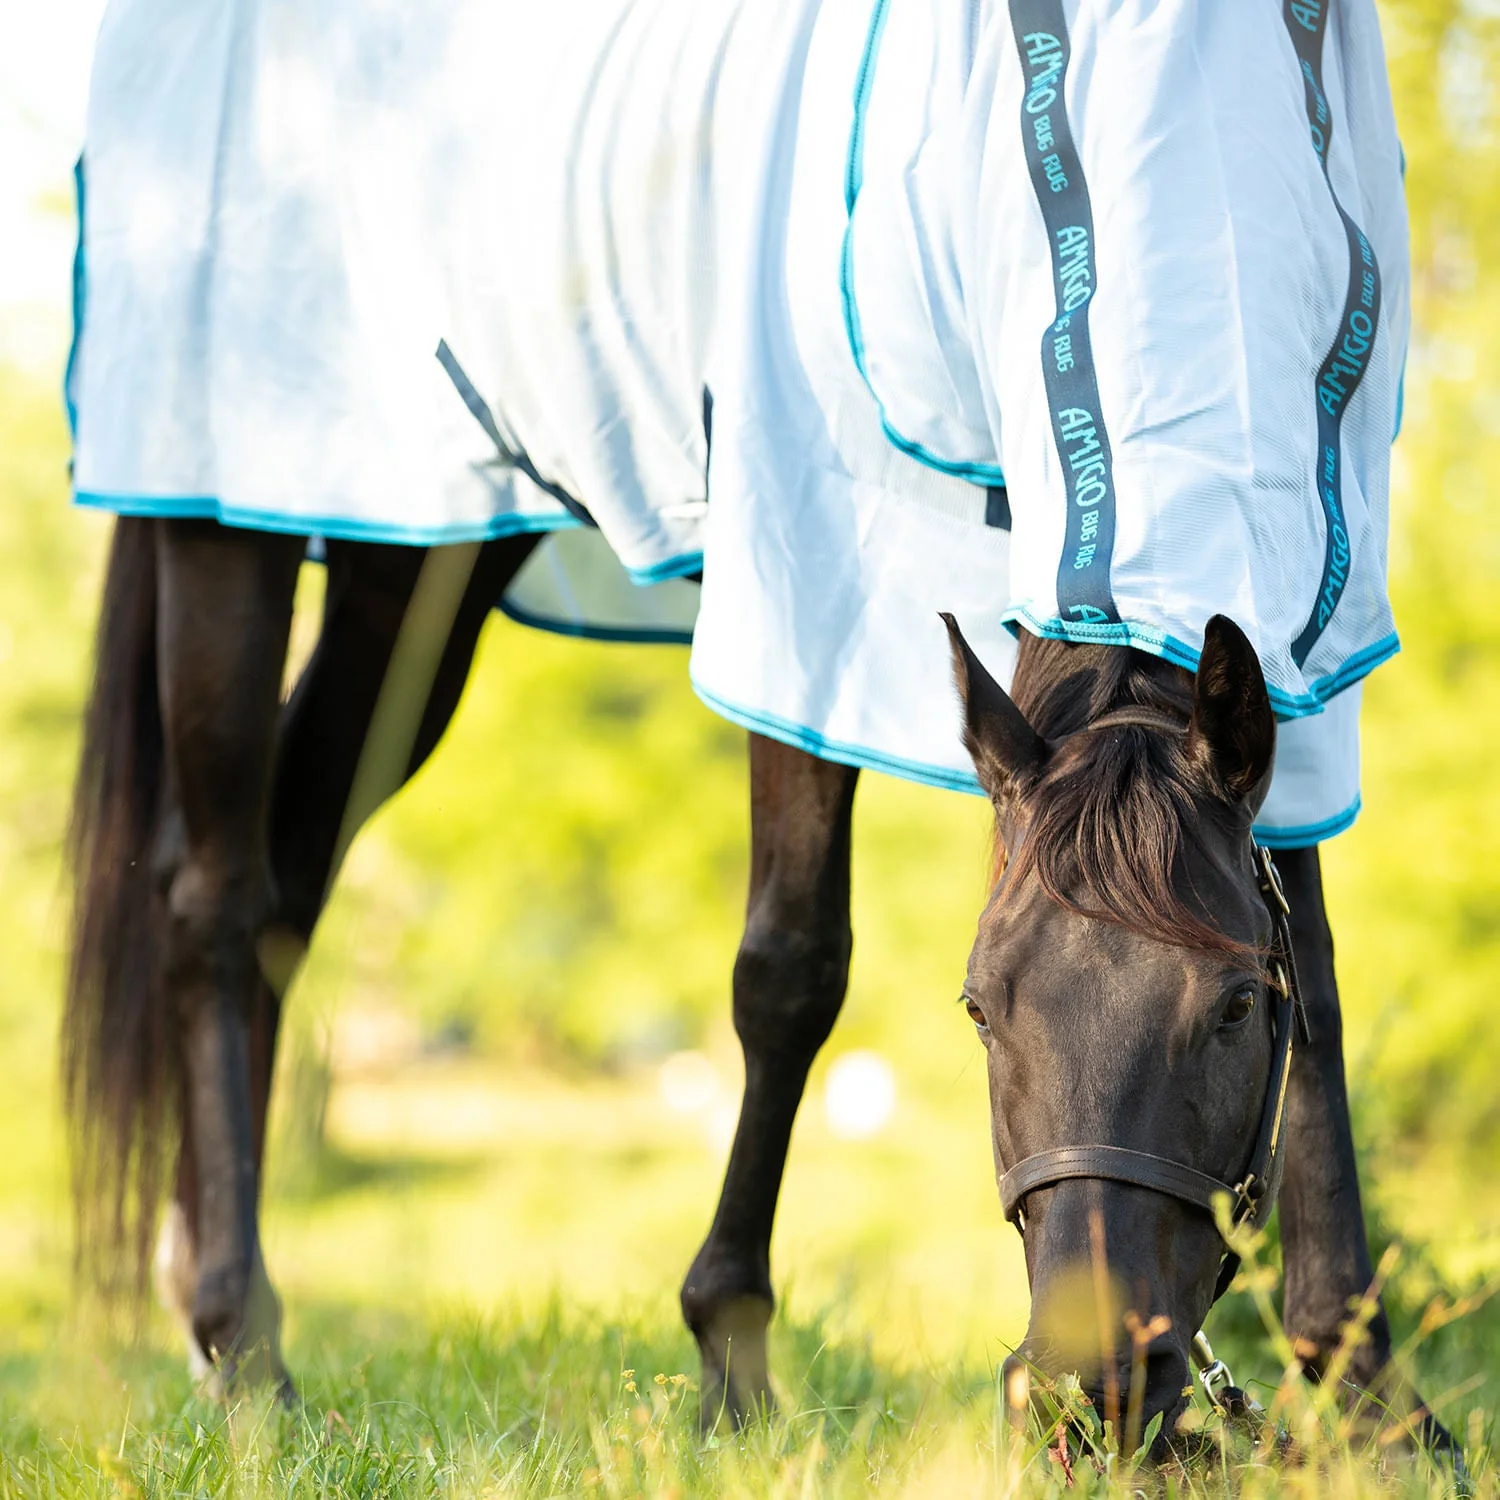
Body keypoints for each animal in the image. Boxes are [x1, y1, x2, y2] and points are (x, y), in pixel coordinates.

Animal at [61, 0, 1453, 1461]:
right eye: (979, 1005)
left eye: (1236, 1006)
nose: (1093, 1393)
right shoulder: (807, 580)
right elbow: (790, 969)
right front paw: (730, 1363)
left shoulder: (1306, 654)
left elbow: (1324, 984)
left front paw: (1371, 1393)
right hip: (229, 530)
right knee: (216, 906)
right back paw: (244, 1345)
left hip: (416, 569)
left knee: (289, 882)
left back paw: (206, 1311)